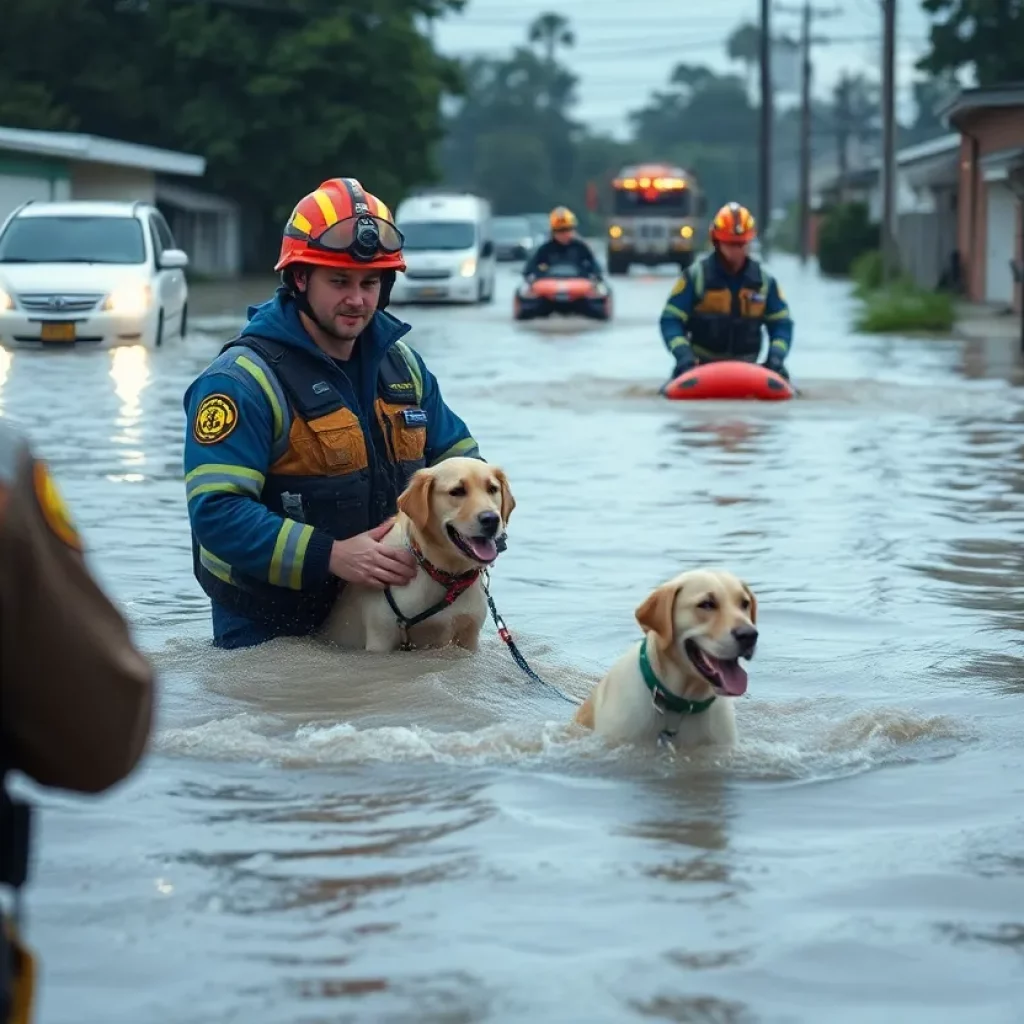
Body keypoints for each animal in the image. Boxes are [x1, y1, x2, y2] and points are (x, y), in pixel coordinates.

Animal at [323, 458, 516, 651]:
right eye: (457, 491)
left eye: (492, 489)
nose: (491, 519)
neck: (447, 577)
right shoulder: (381, 637)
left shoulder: (469, 635)